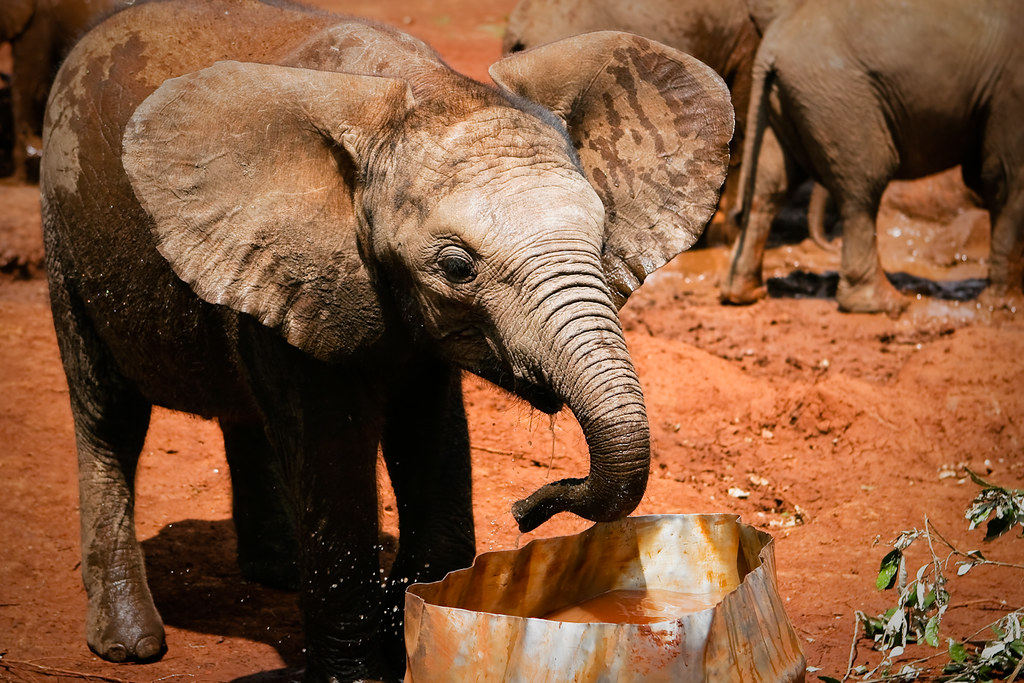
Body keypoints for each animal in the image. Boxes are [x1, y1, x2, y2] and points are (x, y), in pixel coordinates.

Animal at [41, 0, 733, 680]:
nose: (525, 511)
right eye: (456, 267)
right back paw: (128, 641)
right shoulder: (311, 265)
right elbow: (335, 454)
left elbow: (429, 433)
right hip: (64, 235)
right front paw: (360, 670)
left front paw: (413, 625)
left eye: (601, 237)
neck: (412, 93)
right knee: (109, 418)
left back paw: (278, 572)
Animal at [725, 0, 1024, 313]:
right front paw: (1006, 306)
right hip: (838, 95)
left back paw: (746, 294)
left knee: (769, 188)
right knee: (866, 182)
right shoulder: (1012, 89)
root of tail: (770, 47)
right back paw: (886, 303)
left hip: (783, 102)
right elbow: (1005, 180)